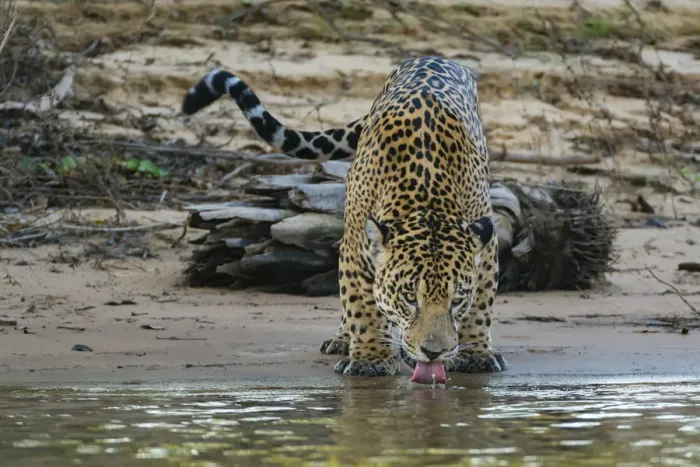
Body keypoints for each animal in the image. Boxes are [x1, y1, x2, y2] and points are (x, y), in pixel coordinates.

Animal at [181, 56, 507, 381]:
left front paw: (476, 353)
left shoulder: (485, 242)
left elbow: (481, 304)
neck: (427, 197)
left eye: (457, 300)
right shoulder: (356, 248)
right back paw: (344, 339)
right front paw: (370, 359)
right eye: (410, 298)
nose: (434, 352)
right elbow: (361, 306)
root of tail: (430, 57)